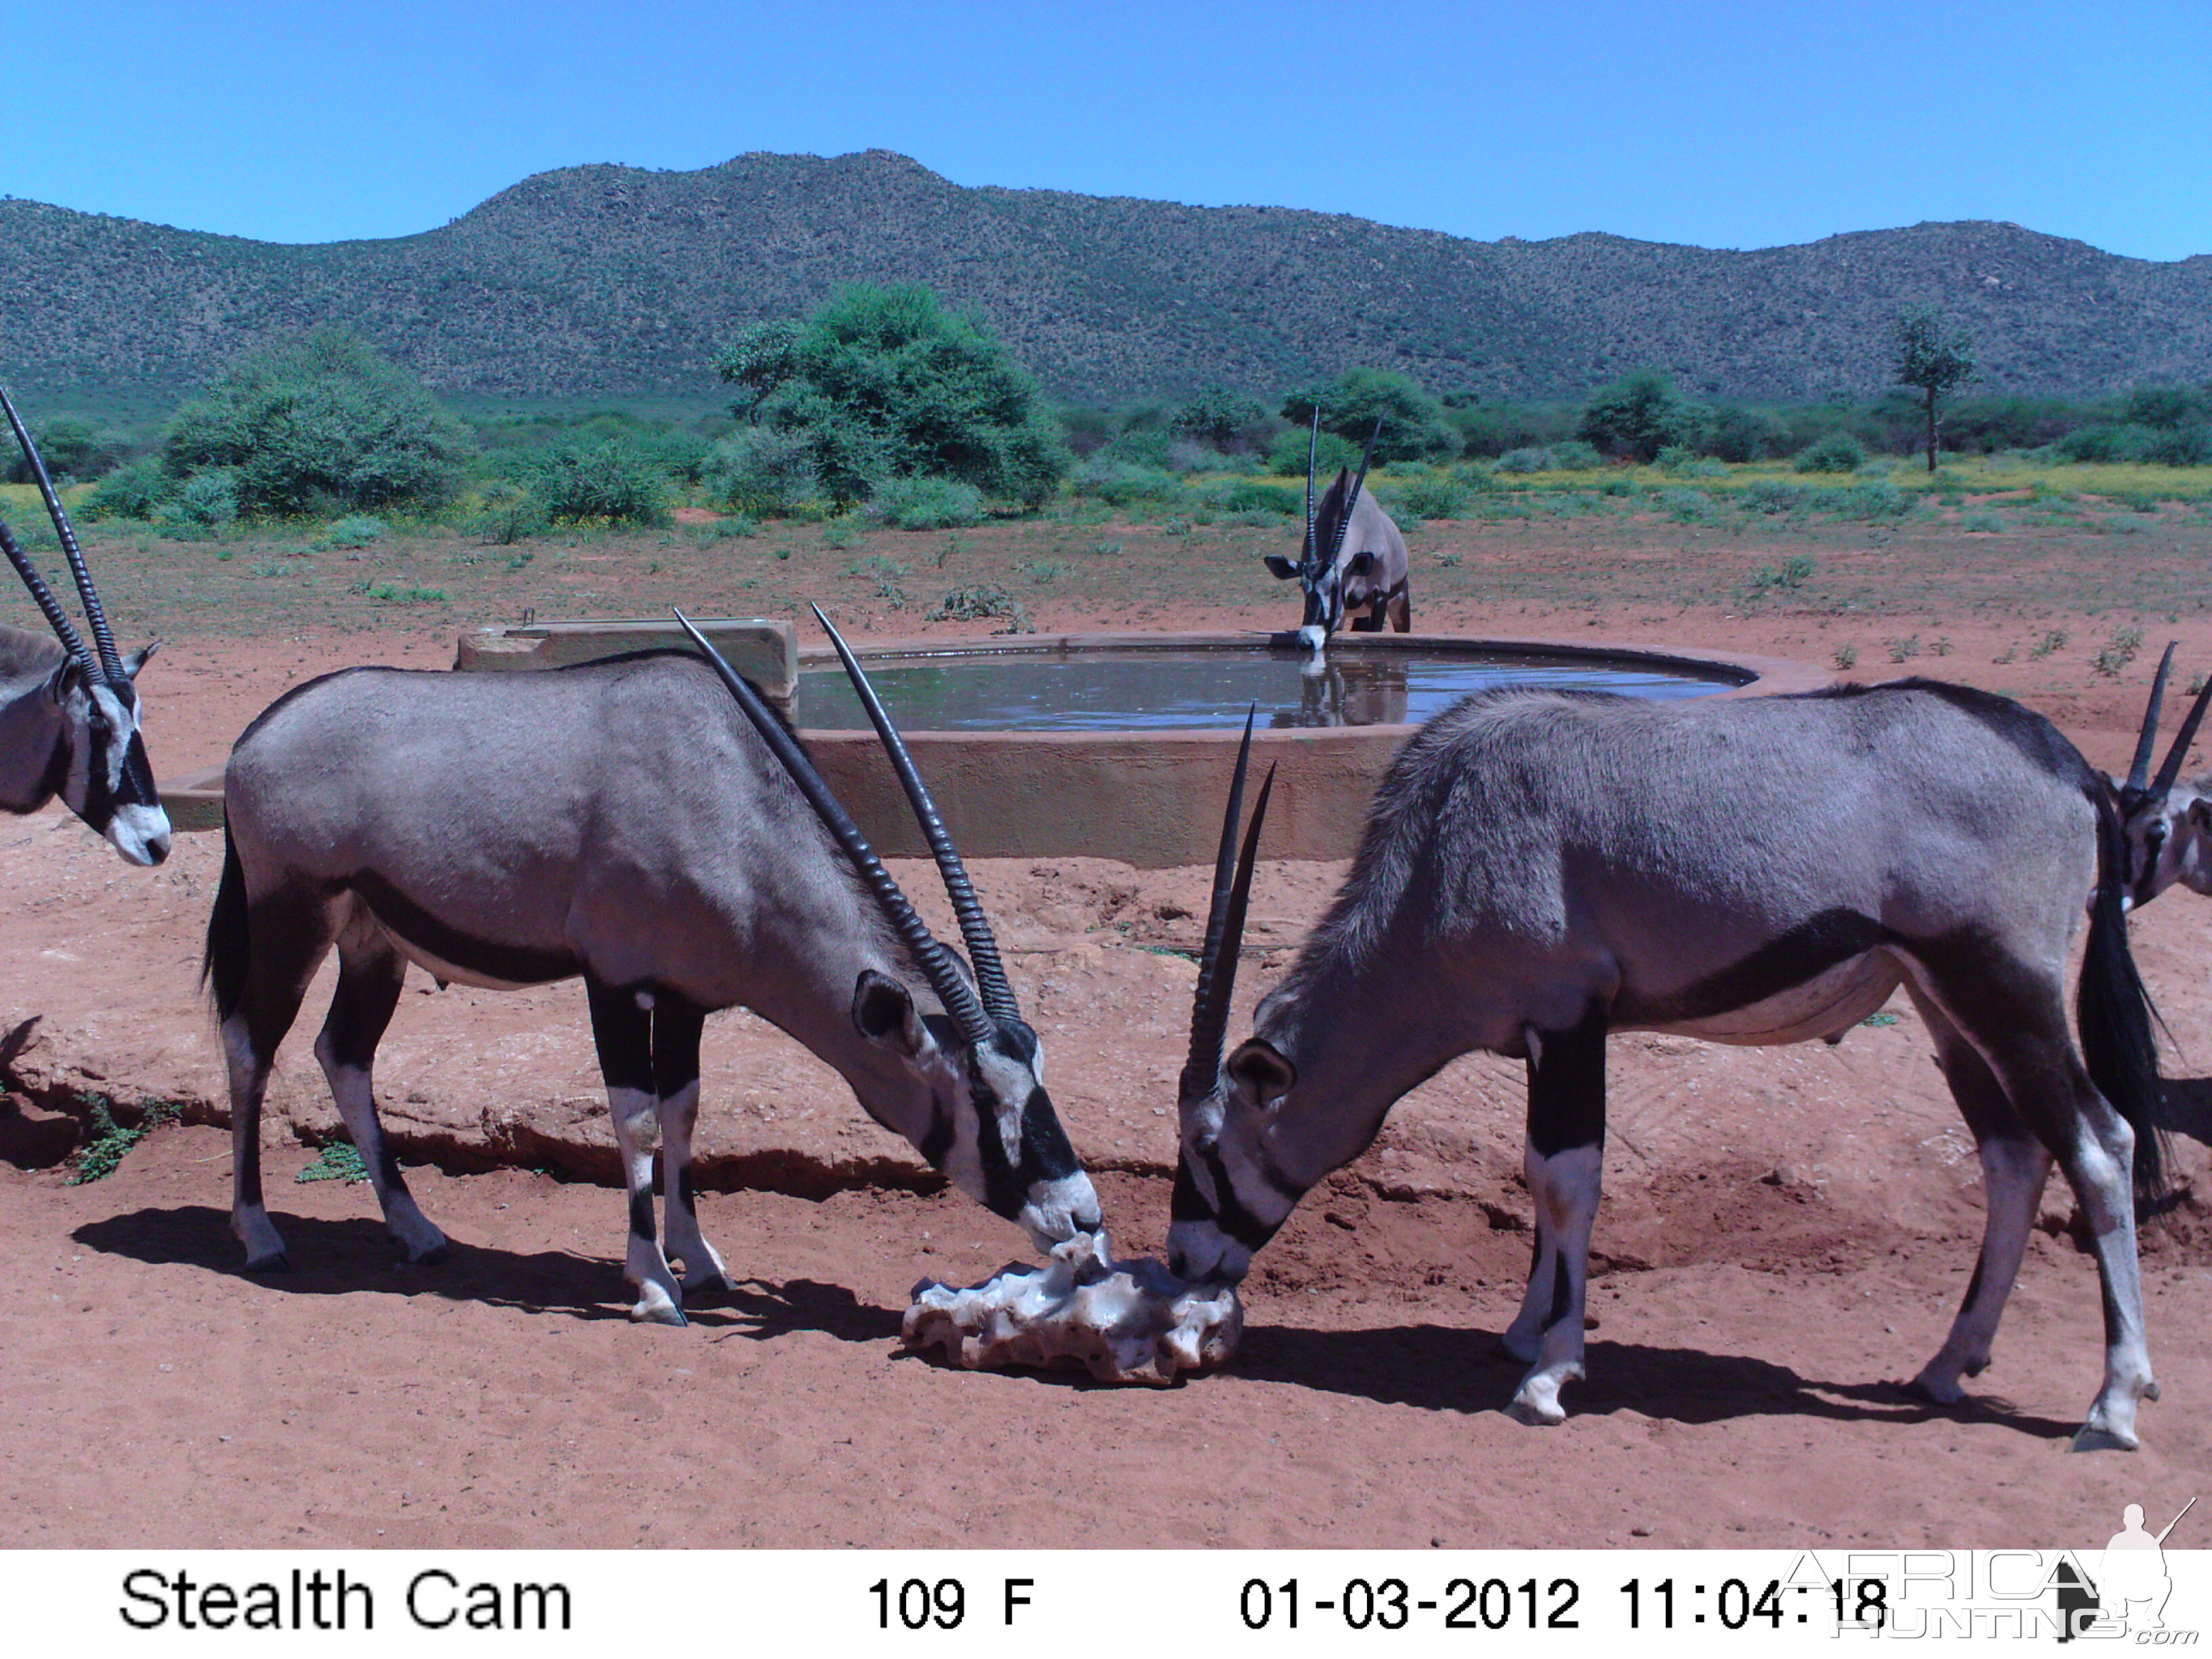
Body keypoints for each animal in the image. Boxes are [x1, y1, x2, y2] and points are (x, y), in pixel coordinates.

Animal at [205, 610, 1097, 1327]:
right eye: (978, 1097)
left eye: (1038, 1074)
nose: (1082, 1220)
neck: (725, 799)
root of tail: (253, 738)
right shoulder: (615, 981)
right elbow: (635, 1119)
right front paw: (654, 1287)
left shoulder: (686, 996)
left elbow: (684, 1111)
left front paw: (697, 1261)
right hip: (290, 916)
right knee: (252, 1043)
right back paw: (259, 1234)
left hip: (372, 942)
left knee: (343, 1054)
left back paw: (419, 1232)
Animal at [1168, 676, 2167, 1451]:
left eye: (1210, 1142)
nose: (1182, 1259)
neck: (1438, 847)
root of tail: (2069, 765)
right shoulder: (1551, 1035)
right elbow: (1536, 1175)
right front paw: (1527, 1331)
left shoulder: (1569, 1017)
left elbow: (1566, 1179)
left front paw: (1549, 1377)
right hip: (1944, 1003)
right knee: (2014, 1153)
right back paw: (1948, 1364)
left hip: (2003, 985)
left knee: (2099, 1140)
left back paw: (2113, 1404)